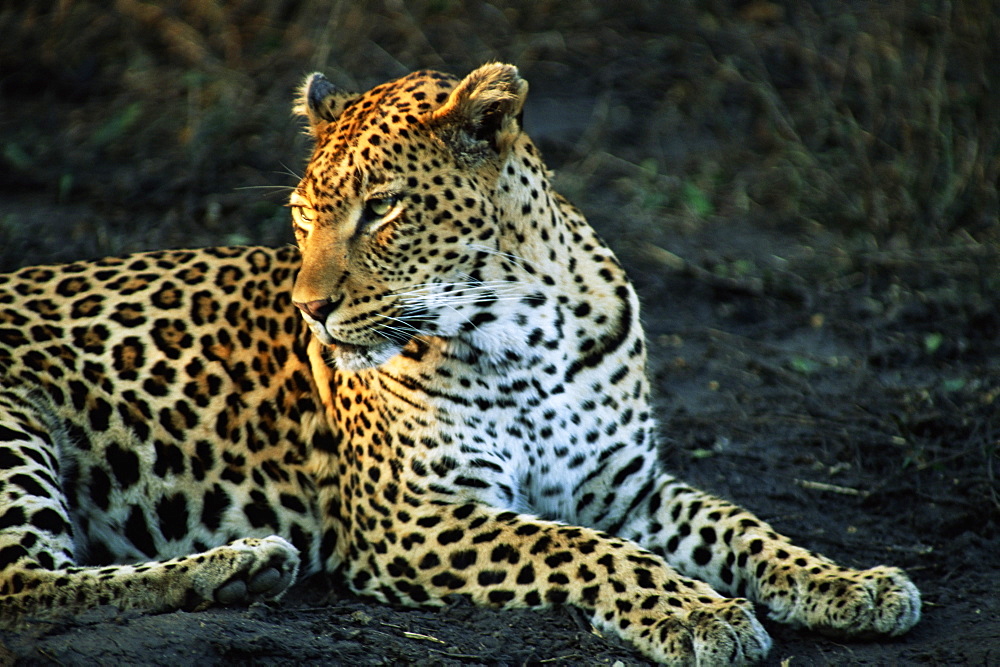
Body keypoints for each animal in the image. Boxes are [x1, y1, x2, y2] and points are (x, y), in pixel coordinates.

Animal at [0, 61, 920, 664]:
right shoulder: (416, 516)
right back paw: (241, 565)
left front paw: (852, 583)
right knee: (24, 584)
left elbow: (743, 525)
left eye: (381, 210)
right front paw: (699, 615)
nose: (309, 309)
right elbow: (585, 550)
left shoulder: (624, 488)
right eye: (303, 216)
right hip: (14, 422)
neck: (527, 333)